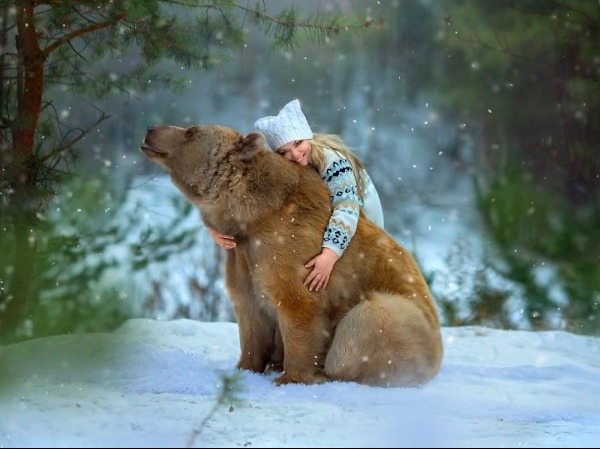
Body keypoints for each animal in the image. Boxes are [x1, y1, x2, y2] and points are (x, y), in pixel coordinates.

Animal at [139, 124, 440, 386]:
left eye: (190, 131)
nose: (150, 129)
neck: (250, 215)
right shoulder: (243, 255)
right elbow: (249, 310)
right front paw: (245, 367)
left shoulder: (289, 245)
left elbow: (298, 304)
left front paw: (291, 377)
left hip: (408, 320)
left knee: (370, 318)